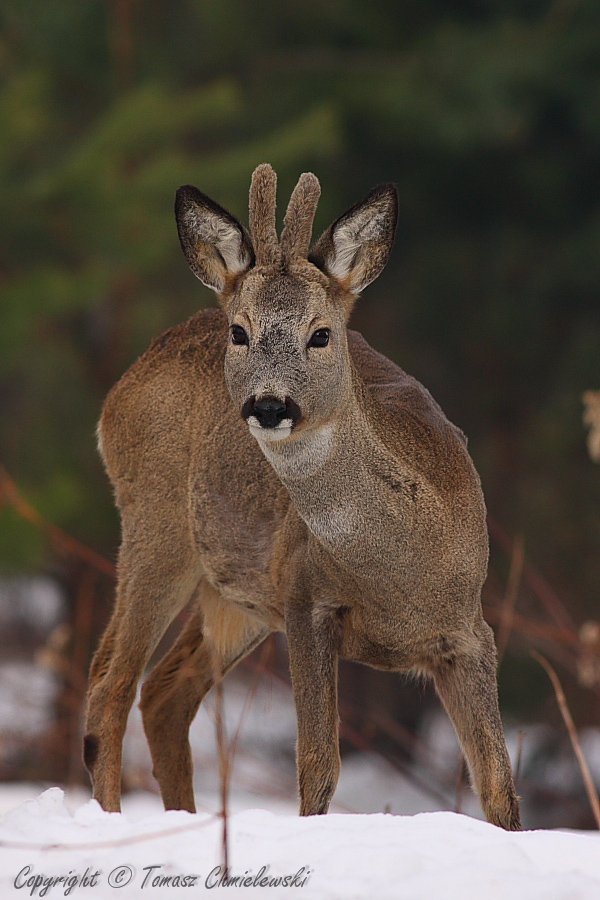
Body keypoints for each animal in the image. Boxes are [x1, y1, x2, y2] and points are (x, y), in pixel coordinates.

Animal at [83, 163, 520, 828]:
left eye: (321, 334)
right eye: (241, 332)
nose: (269, 404)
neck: (402, 576)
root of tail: (124, 386)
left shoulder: (470, 632)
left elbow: (498, 785)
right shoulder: (305, 601)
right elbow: (318, 768)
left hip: (234, 594)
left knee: (162, 693)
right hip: (156, 524)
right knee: (110, 685)